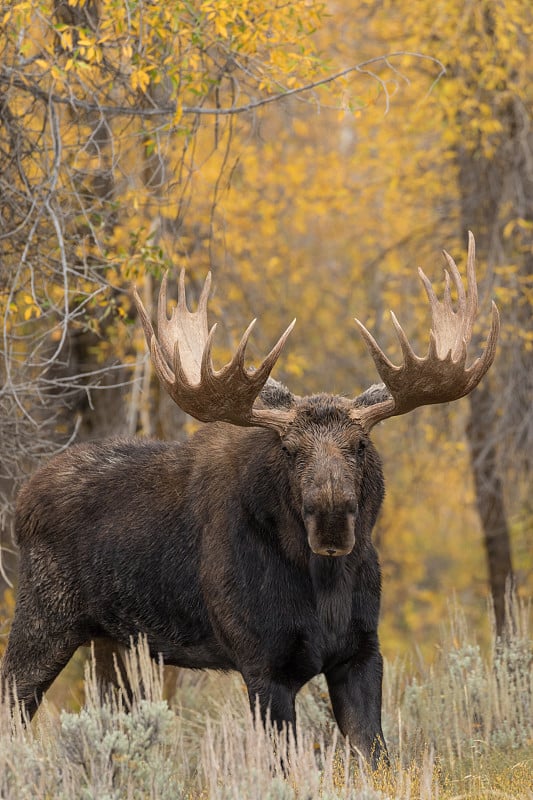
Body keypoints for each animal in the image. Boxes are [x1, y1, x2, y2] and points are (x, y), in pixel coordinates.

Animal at [1, 233, 498, 768]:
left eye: (360, 445)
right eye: (289, 449)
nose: (331, 519)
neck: (323, 587)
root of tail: (22, 501)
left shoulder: (363, 649)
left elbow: (374, 752)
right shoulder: (263, 662)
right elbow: (285, 763)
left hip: (114, 644)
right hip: (44, 616)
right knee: (14, 702)